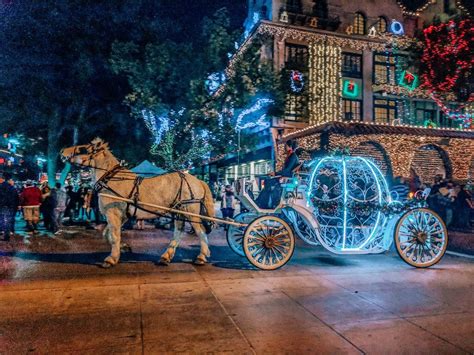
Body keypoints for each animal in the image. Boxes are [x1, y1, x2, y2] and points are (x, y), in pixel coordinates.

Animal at [61, 138, 215, 268]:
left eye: (83, 148)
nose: (62, 150)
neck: (112, 179)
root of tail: (198, 180)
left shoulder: (113, 213)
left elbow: (114, 235)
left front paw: (111, 259)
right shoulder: (122, 216)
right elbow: (107, 234)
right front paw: (124, 247)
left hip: (191, 211)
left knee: (200, 231)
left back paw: (201, 257)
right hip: (178, 212)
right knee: (178, 232)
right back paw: (165, 257)